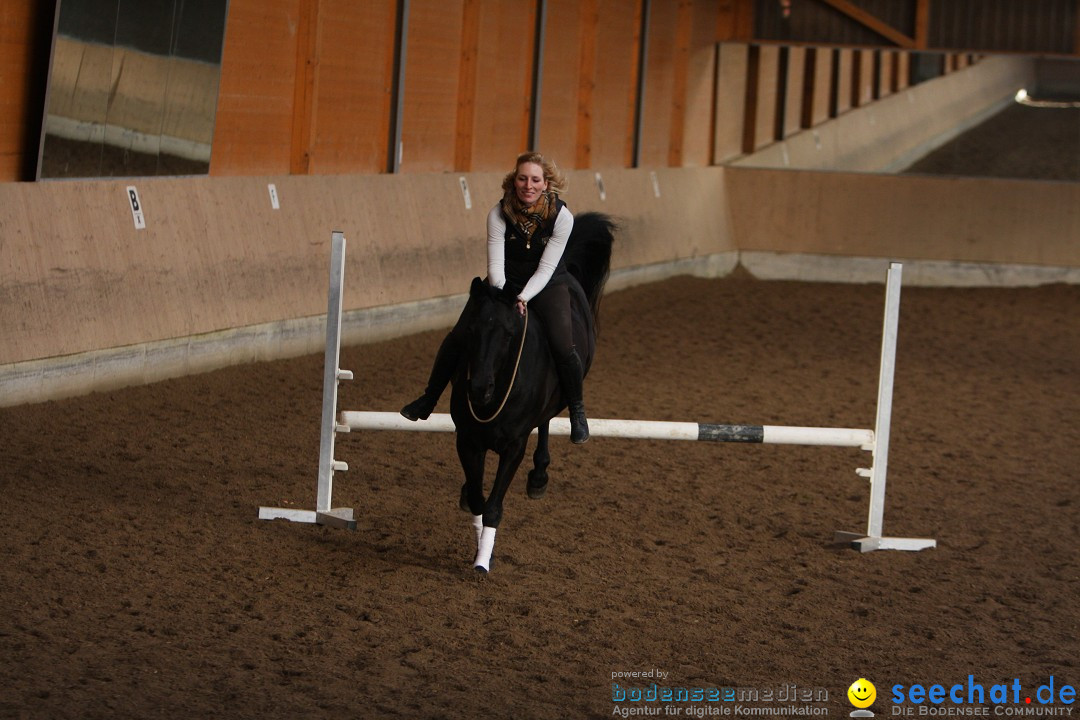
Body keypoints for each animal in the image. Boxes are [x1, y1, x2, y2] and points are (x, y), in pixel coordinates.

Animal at [449, 211, 617, 569]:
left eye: (510, 333)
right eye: (471, 328)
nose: (479, 388)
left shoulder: (514, 446)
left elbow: (493, 508)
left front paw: (482, 561)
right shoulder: (467, 440)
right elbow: (477, 498)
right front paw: (474, 520)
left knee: (547, 421)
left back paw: (540, 475)